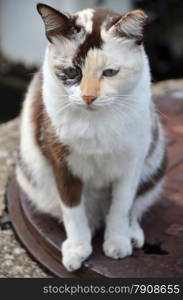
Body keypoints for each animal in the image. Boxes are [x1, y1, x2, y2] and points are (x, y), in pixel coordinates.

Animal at [16, 4, 167, 272]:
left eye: (110, 72)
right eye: (71, 71)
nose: (88, 97)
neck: (95, 124)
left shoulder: (132, 162)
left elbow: (122, 205)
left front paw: (117, 242)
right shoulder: (61, 163)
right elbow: (72, 209)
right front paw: (77, 247)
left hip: (154, 161)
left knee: (137, 204)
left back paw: (132, 233)